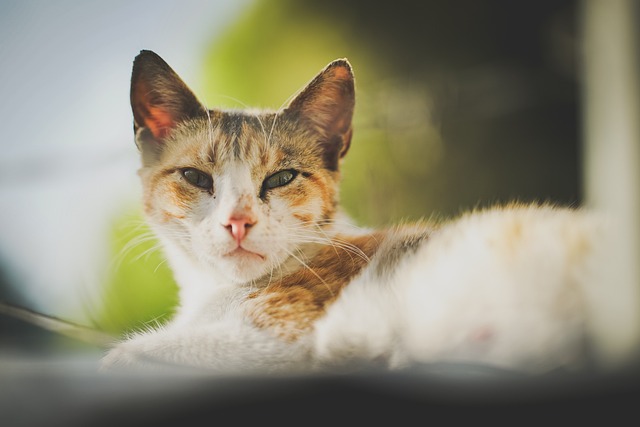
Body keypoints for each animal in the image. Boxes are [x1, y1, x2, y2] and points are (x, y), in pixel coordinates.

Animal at [99, 51, 604, 378]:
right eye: (195, 177)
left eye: (281, 178)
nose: (237, 221)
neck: (218, 290)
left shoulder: (283, 332)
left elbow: (129, 356)